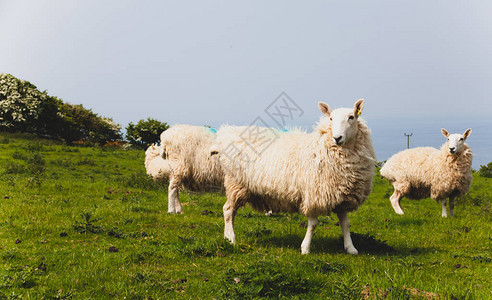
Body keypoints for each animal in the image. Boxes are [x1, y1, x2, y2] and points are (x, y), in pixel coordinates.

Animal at [212, 99, 376, 254]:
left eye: (351, 117)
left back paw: (227, 237)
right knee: (228, 210)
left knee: (230, 211)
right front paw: (305, 248)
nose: (337, 137)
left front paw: (351, 248)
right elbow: (313, 224)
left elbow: (345, 224)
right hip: (236, 182)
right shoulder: (313, 194)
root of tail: (227, 132)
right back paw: (231, 239)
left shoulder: (342, 197)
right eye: (330, 118)